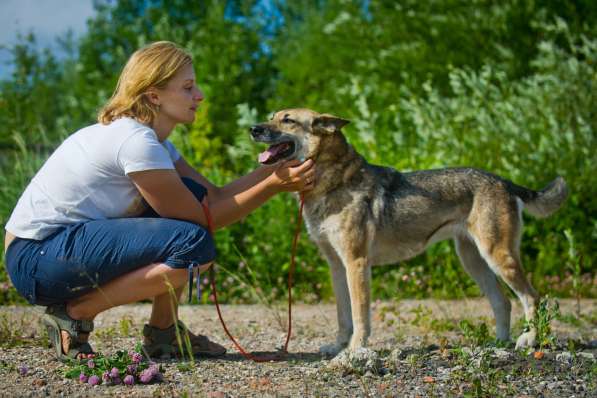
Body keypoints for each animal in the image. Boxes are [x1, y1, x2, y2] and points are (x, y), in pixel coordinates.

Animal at [249, 107, 564, 356]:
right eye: (271, 116)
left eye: (287, 120)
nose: (252, 129)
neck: (332, 182)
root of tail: (503, 181)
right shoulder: (337, 266)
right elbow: (343, 317)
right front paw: (338, 347)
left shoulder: (356, 263)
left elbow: (360, 317)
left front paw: (354, 351)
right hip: (474, 262)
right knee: (504, 303)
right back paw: (498, 345)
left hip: (498, 257)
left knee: (533, 298)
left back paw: (529, 340)